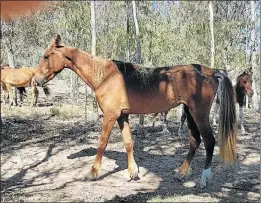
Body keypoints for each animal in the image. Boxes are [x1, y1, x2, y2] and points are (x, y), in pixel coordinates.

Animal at [33, 35, 237, 189]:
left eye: (46, 56)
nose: (36, 79)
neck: (105, 75)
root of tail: (209, 71)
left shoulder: (110, 115)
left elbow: (102, 143)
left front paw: (93, 172)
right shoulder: (122, 115)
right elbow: (128, 142)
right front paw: (133, 172)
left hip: (199, 114)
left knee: (209, 142)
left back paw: (203, 179)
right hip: (189, 112)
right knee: (195, 141)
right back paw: (181, 173)